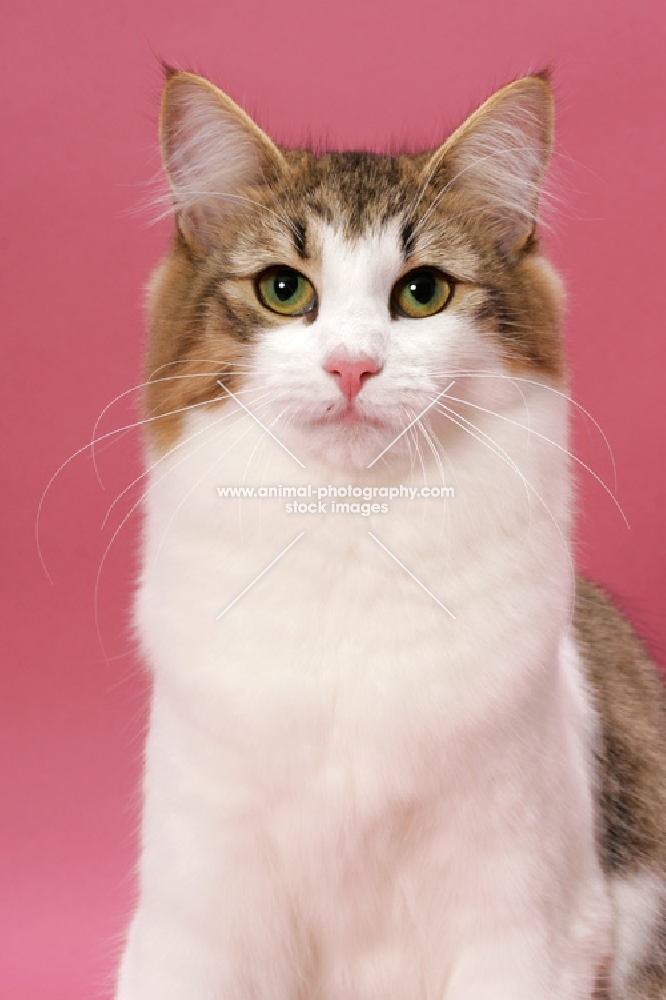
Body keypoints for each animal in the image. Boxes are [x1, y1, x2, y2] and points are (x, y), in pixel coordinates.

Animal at [114, 66, 664, 996]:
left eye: (423, 292)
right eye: (284, 289)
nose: (353, 366)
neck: (351, 529)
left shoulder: (526, 925)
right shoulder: (198, 914)